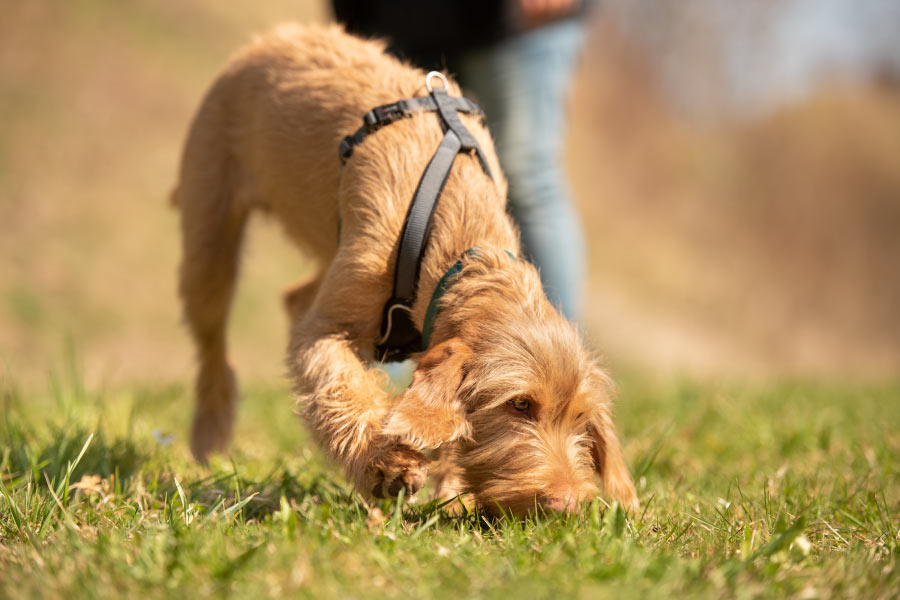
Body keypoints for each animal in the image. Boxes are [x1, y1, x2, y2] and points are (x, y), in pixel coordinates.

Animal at [174, 22, 640, 510]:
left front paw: (451, 490)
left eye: (580, 417)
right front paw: (384, 464)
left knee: (295, 297)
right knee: (214, 338)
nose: (566, 505)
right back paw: (209, 433)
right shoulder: (326, 330)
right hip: (209, 230)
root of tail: (278, 34)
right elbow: (341, 386)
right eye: (520, 404)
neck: (464, 247)